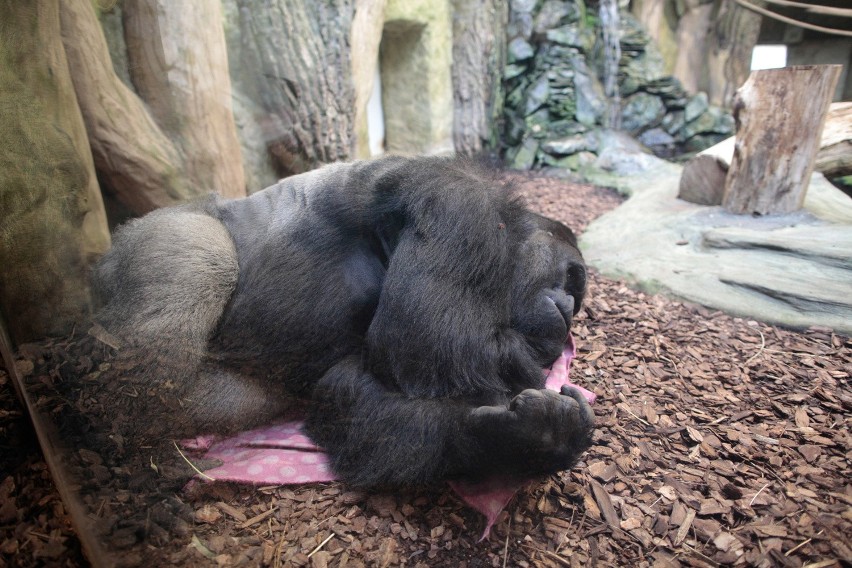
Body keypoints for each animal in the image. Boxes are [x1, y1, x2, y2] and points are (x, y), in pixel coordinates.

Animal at [93, 156, 592, 488]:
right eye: (570, 276)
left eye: (576, 291)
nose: (568, 307)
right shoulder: (460, 199)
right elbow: (425, 341)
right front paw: (525, 421)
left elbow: (348, 392)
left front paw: (519, 442)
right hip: (153, 235)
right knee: (197, 264)